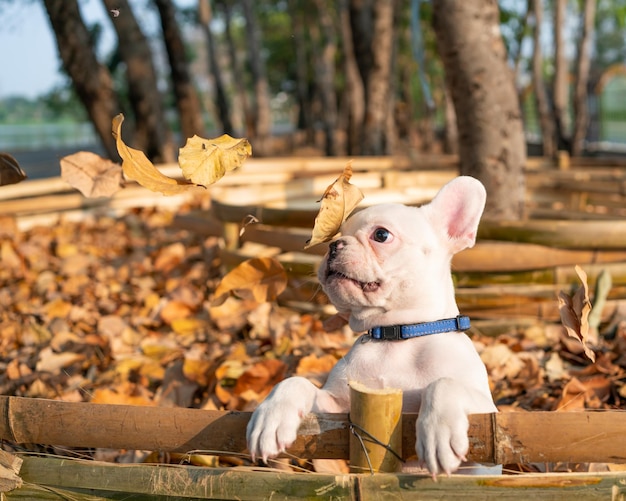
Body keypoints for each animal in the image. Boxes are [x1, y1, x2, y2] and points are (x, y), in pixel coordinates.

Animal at [246, 177, 494, 476]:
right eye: (336, 235)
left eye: (381, 235)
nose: (334, 245)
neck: (396, 334)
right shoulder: (338, 408)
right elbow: (295, 381)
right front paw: (270, 415)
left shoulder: (487, 431)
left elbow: (444, 384)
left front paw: (439, 432)